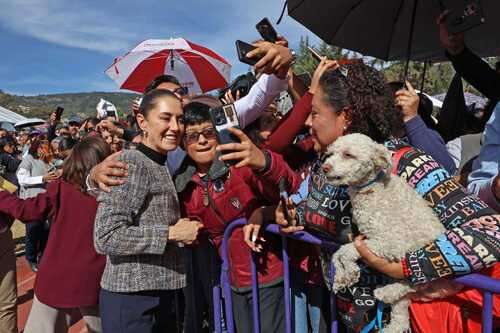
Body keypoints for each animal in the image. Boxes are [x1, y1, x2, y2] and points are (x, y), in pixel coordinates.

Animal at [320, 133, 446, 332]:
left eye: (348, 154)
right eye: (331, 153)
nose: (325, 168)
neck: (372, 190)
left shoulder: (391, 243)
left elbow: (346, 251)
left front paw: (350, 270)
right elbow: (338, 253)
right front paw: (342, 277)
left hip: (425, 262)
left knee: (413, 282)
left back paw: (386, 292)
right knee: (401, 318)